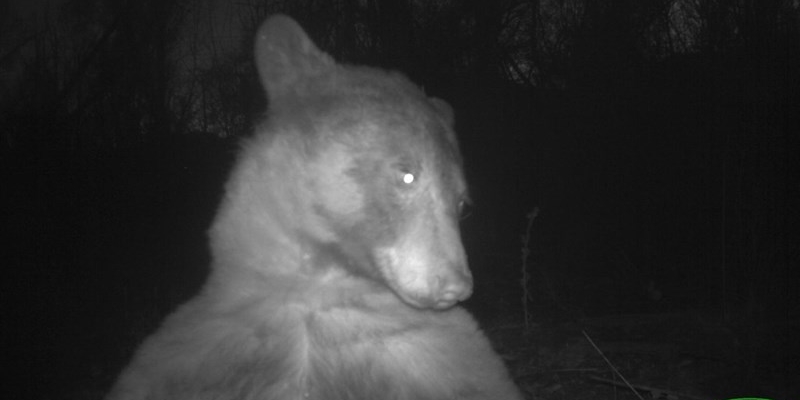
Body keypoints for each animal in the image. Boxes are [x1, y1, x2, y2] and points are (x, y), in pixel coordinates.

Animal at [106, 15, 522, 400]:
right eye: (407, 174)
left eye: (462, 203)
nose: (457, 285)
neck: (320, 285)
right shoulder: (195, 351)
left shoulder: (439, 354)